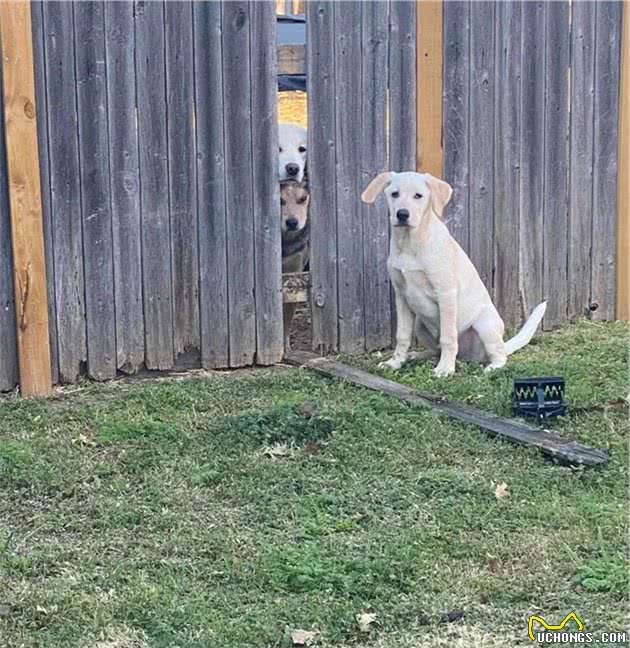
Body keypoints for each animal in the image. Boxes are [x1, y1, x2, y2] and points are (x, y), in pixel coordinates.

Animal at [360, 172, 548, 378]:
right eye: (394, 194)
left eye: (418, 196)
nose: (402, 214)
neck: (410, 242)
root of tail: (468, 355)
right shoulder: (401, 295)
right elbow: (402, 336)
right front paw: (395, 363)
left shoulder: (446, 293)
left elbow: (448, 337)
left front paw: (445, 369)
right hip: (419, 324)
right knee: (435, 350)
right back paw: (415, 356)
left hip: (485, 325)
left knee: (498, 354)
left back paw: (490, 367)